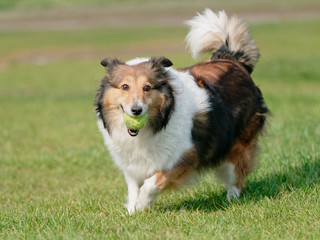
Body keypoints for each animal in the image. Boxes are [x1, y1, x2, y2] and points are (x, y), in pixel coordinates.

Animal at [94, 8, 268, 214]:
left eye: (147, 87)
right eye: (125, 86)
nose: (136, 110)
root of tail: (231, 60)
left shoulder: (184, 156)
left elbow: (152, 182)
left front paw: (143, 204)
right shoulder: (133, 164)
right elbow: (134, 187)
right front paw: (132, 211)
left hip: (237, 145)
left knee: (236, 177)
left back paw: (231, 201)